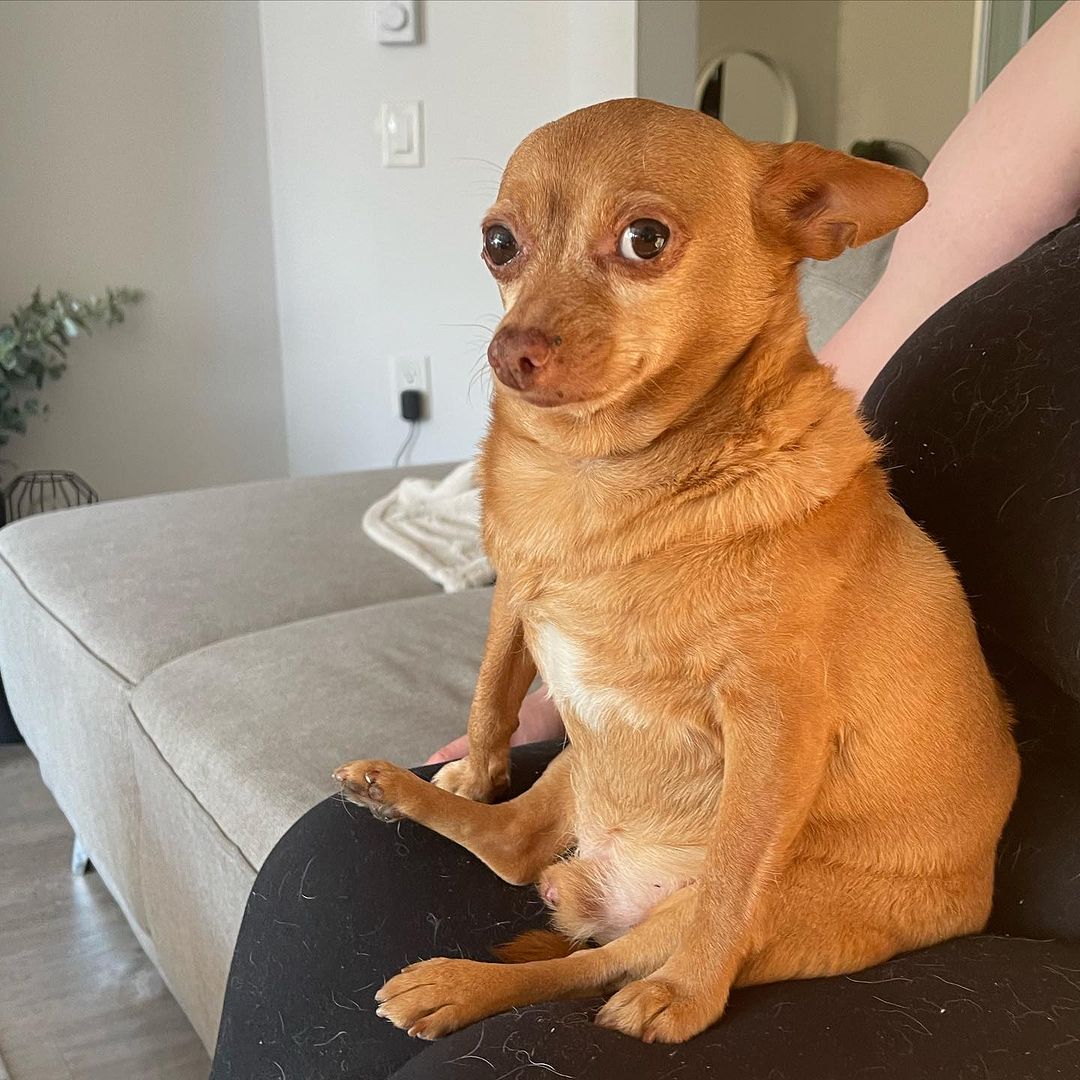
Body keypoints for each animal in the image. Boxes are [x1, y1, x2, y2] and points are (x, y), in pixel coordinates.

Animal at [336, 101, 1019, 1045]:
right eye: (498, 244)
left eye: (646, 239)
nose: (511, 350)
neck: (599, 475)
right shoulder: (516, 596)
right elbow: (491, 693)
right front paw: (471, 768)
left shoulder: (774, 726)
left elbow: (732, 878)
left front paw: (690, 996)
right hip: (580, 758)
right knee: (514, 849)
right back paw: (396, 794)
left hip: (770, 895)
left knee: (600, 961)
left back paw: (476, 985)